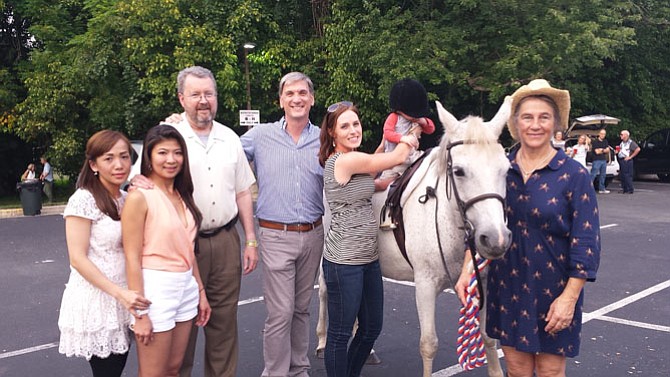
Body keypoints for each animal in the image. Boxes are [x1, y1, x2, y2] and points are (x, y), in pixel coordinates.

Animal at [318, 98, 512, 376]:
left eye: (506, 170)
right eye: (459, 171)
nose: (495, 239)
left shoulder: (482, 282)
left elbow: (488, 338)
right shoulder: (425, 286)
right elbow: (428, 344)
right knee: (324, 290)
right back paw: (322, 341)